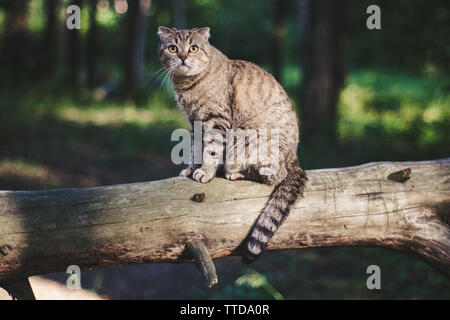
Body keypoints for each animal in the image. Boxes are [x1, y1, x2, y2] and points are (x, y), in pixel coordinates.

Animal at [156, 26, 308, 262]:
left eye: (193, 48)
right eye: (173, 48)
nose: (182, 57)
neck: (187, 85)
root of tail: (295, 157)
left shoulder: (215, 120)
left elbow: (210, 149)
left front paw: (205, 172)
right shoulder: (194, 122)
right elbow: (195, 148)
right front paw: (192, 168)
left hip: (251, 140)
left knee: (275, 175)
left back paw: (234, 173)